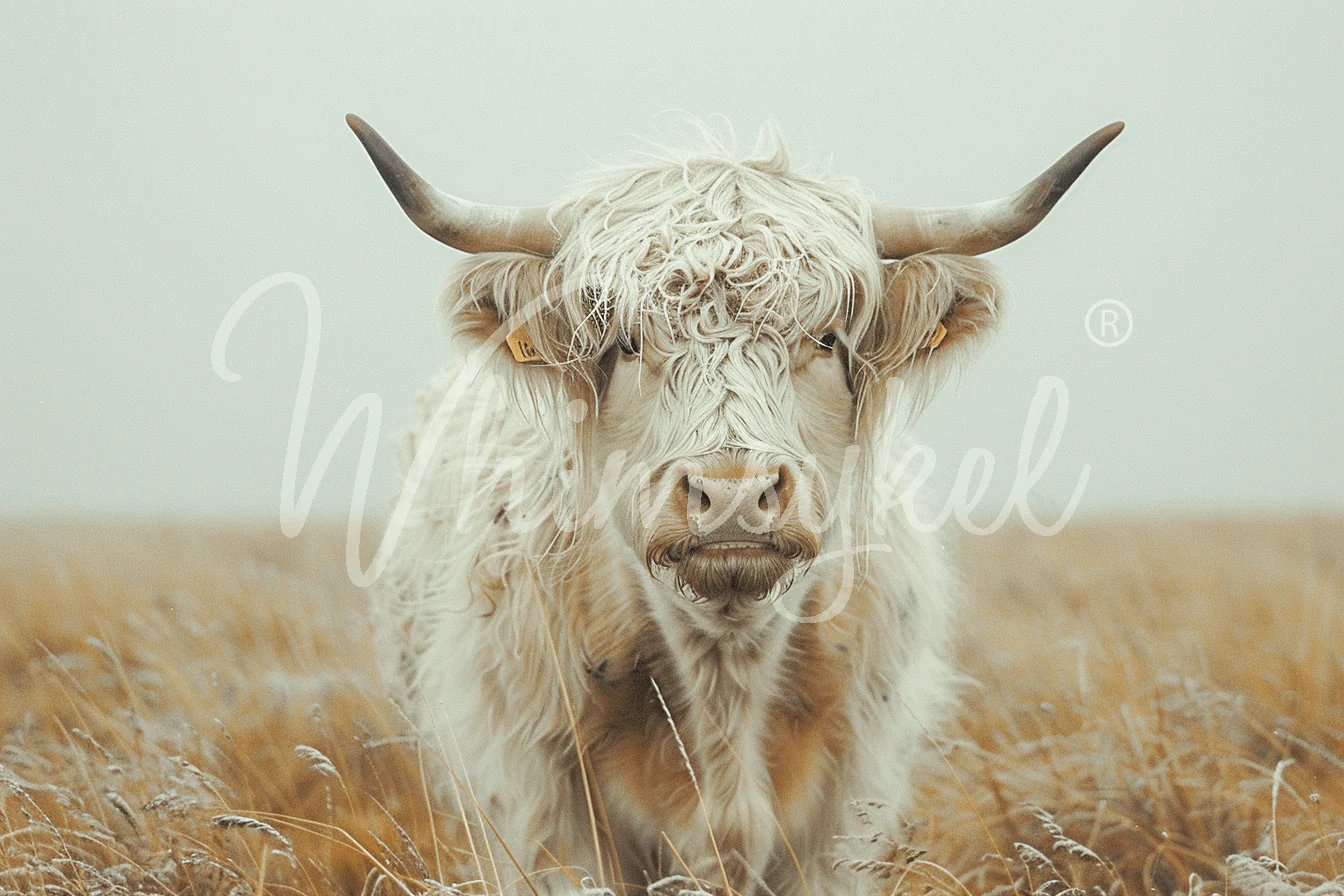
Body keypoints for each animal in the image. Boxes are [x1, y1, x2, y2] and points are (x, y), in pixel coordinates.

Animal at [348, 114, 1121, 896]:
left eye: (826, 337)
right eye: (627, 341)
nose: (732, 494)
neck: (724, 675)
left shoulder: (843, 819)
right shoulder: (539, 810)